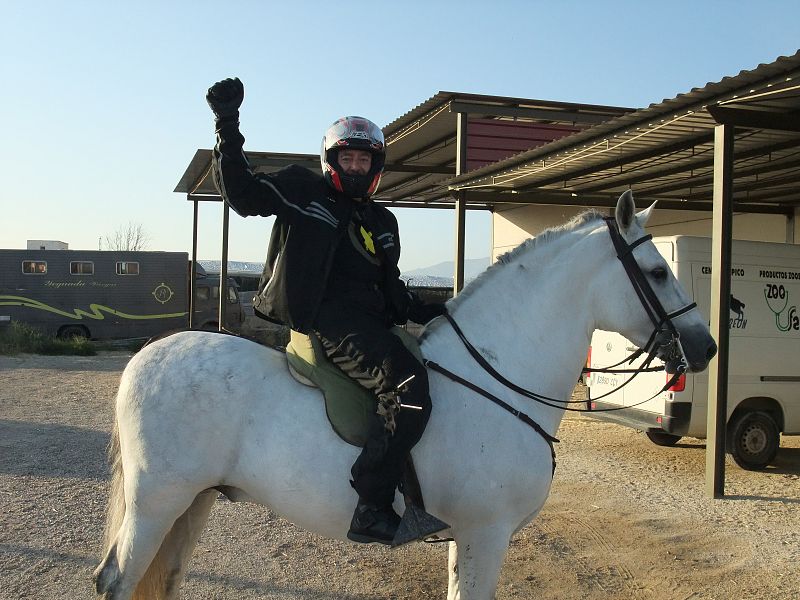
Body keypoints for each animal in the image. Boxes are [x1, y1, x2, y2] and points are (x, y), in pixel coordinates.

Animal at [92, 192, 712, 600]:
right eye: (658, 272)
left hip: (191, 502)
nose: (705, 347)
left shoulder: (471, 537)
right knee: (117, 582)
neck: (495, 377)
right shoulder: (485, 532)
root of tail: (146, 356)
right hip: (158, 502)